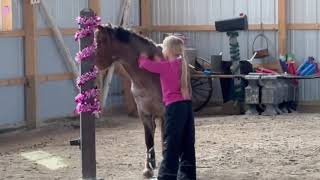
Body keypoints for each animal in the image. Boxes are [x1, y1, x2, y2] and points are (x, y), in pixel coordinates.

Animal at [94, 23, 165, 177]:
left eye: (101, 40)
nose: (97, 65)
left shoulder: (165, 112)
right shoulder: (144, 113)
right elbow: (148, 140)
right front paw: (148, 169)